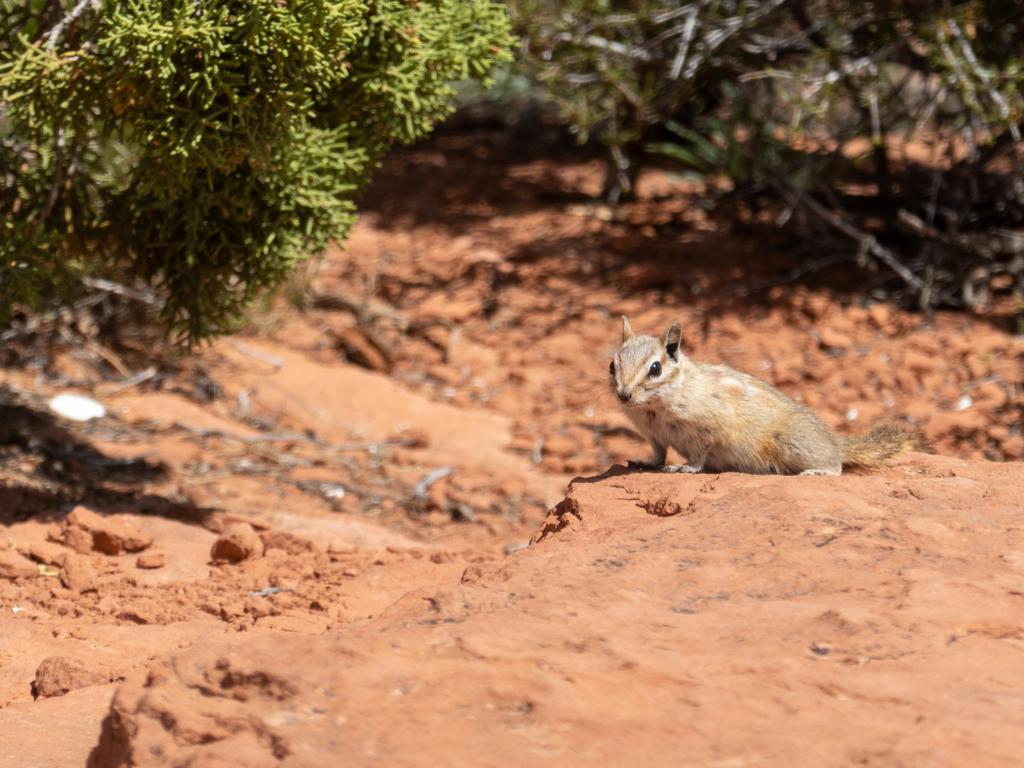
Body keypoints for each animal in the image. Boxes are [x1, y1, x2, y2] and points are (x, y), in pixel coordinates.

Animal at [606, 317, 929, 475]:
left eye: (655, 368)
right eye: (612, 365)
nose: (623, 395)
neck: (654, 407)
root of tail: (835, 442)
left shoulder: (708, 428)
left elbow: (698, 455)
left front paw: (684, 467)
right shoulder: (654, 435)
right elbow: (658, 453)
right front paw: (647, 463)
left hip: (790, 444)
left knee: (837, 465)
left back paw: (818, 472)